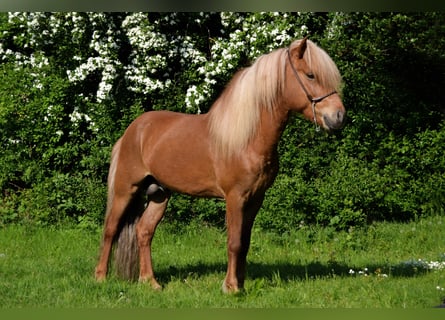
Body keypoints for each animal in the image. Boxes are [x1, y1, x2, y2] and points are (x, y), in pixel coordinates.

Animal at [93, 37, 346, 292]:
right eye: (311, 75)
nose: (338, 117)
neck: (245, 139)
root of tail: (132, 131)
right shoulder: (235, 197)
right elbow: (234, 242)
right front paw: (230, 287)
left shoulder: (256, 198)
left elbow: (245, 242)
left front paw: (240, 283)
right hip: (126, 190)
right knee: (110, 230)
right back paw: (100, 277)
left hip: (159, 194)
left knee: (144, 232)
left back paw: (150, 282)